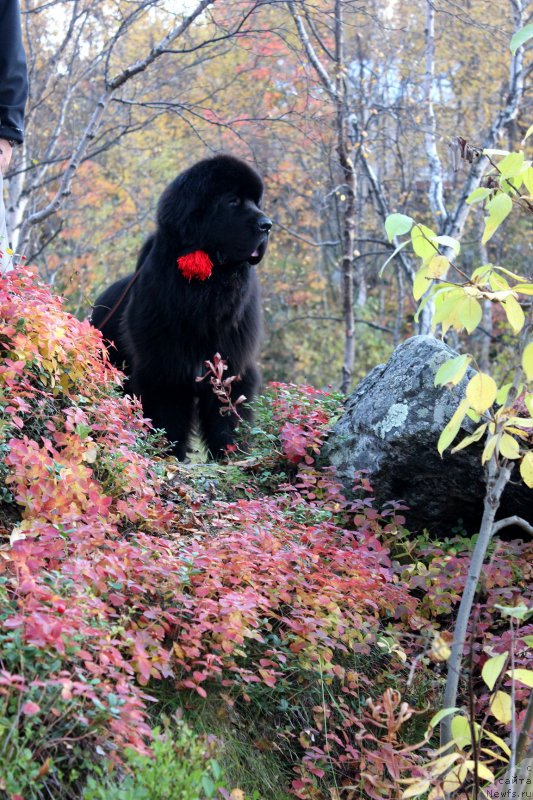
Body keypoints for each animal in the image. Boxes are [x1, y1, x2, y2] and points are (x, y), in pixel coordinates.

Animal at [91, 153, 270, 460]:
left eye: (256, 202)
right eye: (233, 201)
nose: (267, 224)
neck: (209, 287)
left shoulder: (232, 361)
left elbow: (227, 413)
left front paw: (231, 453)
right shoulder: (164, 366)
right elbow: (168, 415)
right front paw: (169, 452)